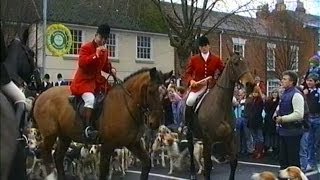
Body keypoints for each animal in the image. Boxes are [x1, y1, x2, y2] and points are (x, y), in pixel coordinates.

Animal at [32, 67, 172, 179]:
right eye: (151, 91)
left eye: (165, 93)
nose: (155, 122)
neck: (125, 104)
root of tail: (41, 95)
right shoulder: (107, 146)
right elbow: (103, 173)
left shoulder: (133, 143)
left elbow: (147, 163)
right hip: (50, 135)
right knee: (46, 155)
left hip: (65, 136)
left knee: (58, 157)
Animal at [186, 52, 256, 180]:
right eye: (236, 63)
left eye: (247, 63)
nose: (251, 84)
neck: (220, 105)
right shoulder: (208, 139)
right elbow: (208, 165)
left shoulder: (230, 138)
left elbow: (233, 162)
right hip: (190, 132)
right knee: (190, 148)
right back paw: (193, 172)